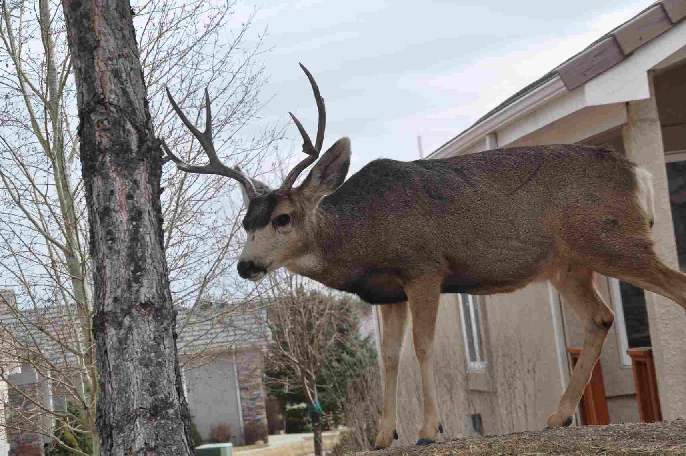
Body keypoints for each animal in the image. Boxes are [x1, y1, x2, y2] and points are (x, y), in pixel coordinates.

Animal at [165, 64, 686, 448]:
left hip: (613, 240)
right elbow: (389, 358)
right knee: (600, 318)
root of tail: (638, 173)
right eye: (245, 222)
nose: (245, 266)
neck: (363, 236)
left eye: (283, 218)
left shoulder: (424, 269)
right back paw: (555, 417)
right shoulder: (386, 294)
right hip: (568, 264)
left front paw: (427, 430)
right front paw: (382, 435)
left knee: (674, 286)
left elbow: (422, 345)